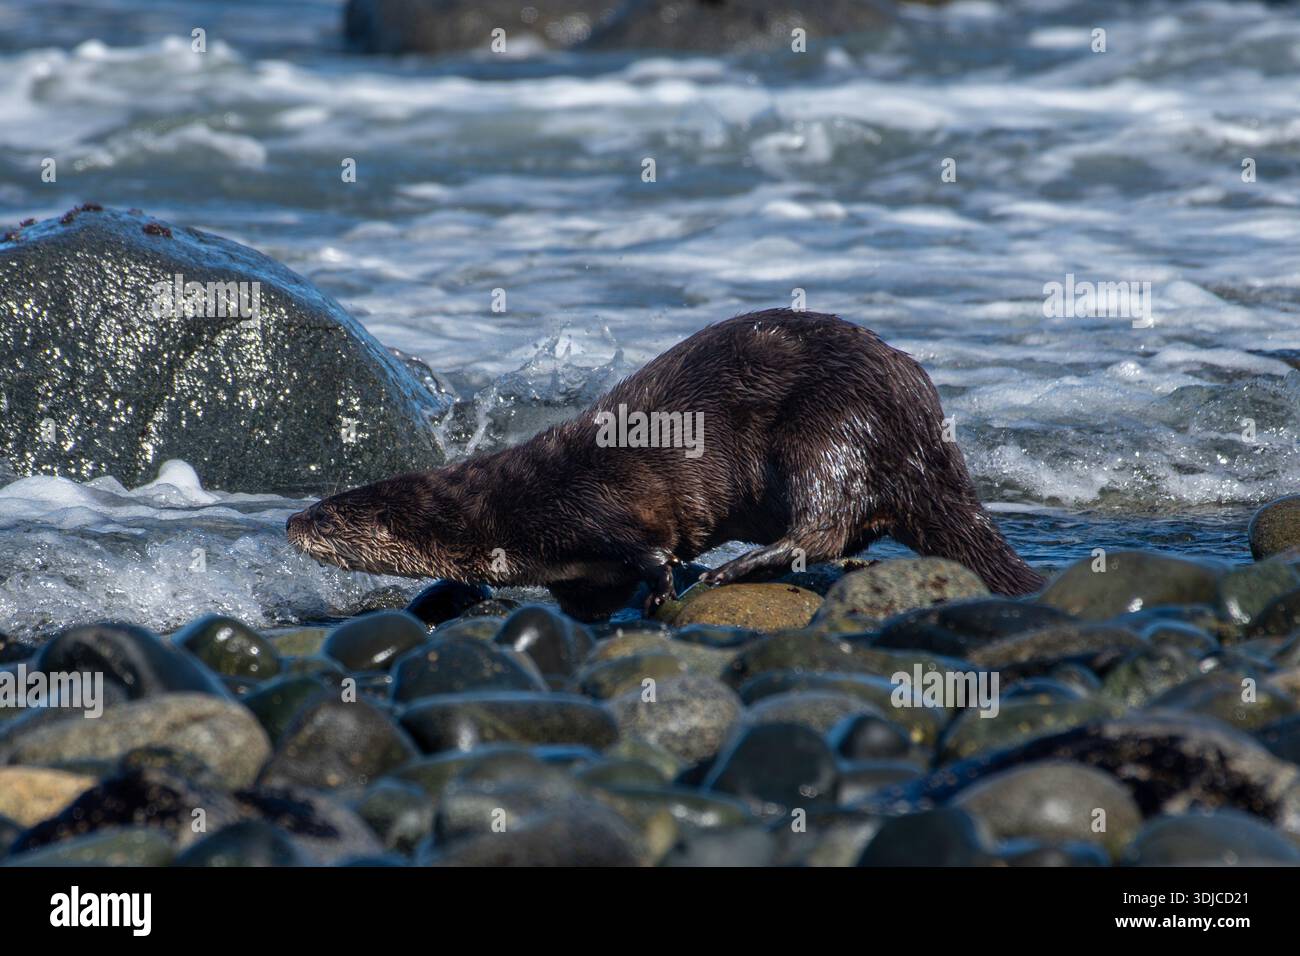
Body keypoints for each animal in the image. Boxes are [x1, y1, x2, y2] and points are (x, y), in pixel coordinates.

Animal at [287, 309, 1043, 620]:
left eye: (327, 516)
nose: (290, 524)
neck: (504, 515)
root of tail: (922, 422)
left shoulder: (592, 505)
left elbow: (651, 551)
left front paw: (665, 589)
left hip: (826, 428)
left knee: (822, 523)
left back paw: (740, 567)